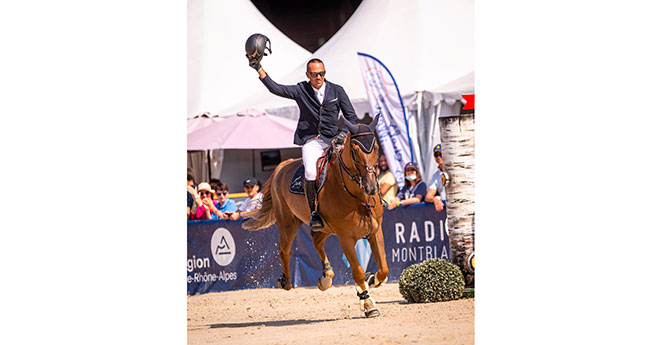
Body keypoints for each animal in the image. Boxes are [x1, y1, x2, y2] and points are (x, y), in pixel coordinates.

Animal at [241, 115, 386, 318]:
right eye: (355, 151)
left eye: (377, 148)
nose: (372, 188)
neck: (358, 196)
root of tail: (281, 166)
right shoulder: (345, 238)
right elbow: (357, 271)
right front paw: (368, 304)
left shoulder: (375, 231)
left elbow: (384, 269)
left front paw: (371, 281)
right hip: (288, 224)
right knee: (285, 250)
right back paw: (286, 281)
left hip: (325, 227)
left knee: (316, 240)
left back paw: (326, 277)